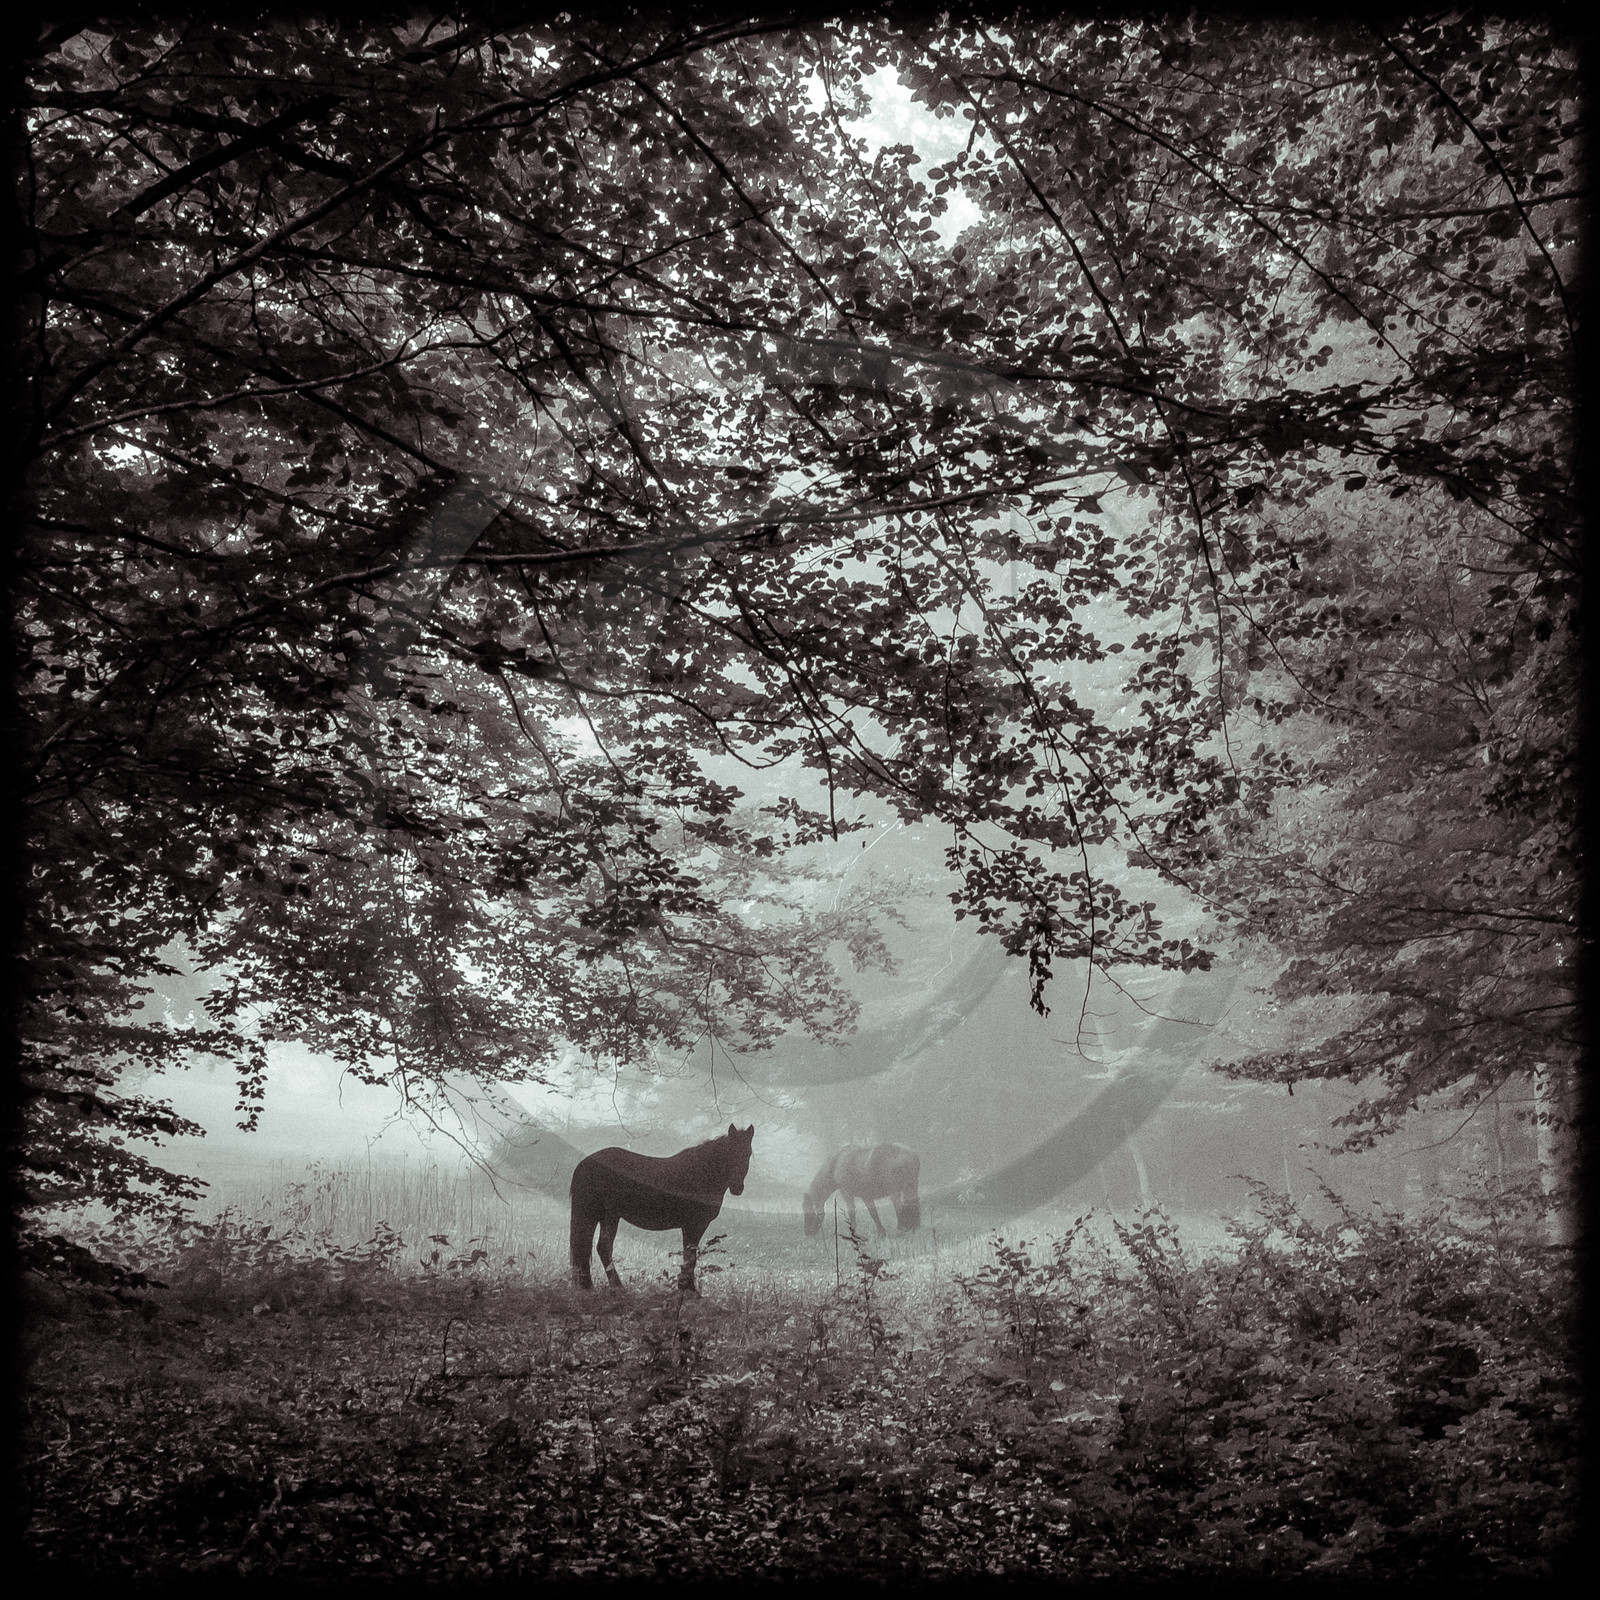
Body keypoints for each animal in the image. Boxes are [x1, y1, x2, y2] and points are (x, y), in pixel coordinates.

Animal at [570, 1123, 754, 1294]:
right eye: (730, 1152)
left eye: (749, 1153)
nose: (737, 1188)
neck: (700, 1174)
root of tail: (583, 1163)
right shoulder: (694, 1225)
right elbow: (690, 1258)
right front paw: (688, 1289)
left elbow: (689, 1257)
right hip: (598, 1214)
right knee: (593, 1247)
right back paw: (605, 1286)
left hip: (606, 1216)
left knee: (597, 1247)